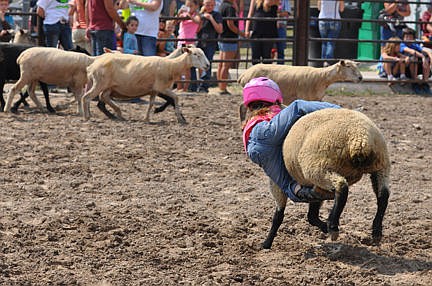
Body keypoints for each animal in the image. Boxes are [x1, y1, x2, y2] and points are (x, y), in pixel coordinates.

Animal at [81, 46, 211, 123]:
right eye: (196, 54)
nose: (208, 65)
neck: (171, 66)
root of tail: (93, 64)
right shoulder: (161, 87)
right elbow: (175, 98)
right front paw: (179, 118)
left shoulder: (154, 90)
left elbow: (151, 103)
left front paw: (147, 118)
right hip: (100, 83)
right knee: (86, 97)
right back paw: (87, 116)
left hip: (108, 86)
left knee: (103, 97)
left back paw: (119, 114)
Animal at [262, 108, 390, 249]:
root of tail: (360, 138)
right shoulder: (315, 189)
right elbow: (312, 215)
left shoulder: (277, 184)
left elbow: (278, 216)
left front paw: (266, 243)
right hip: (380, 165)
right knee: (383, 195)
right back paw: (376, 230)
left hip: (318, 168)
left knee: (341, 186)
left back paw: (333, 226)